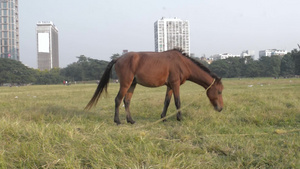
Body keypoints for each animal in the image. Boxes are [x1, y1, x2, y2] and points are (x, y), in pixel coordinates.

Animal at [84, 48, 223, 125]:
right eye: (219, 91)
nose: (220, 108)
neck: (182, 63)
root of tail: (118, 58)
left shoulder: (170, 86)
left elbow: (167, 102)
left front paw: (163, 118)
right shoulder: (175, 84)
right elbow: (177, 101)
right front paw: (179, 118)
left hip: (132, 84)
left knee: (126, 101)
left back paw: (131, 120)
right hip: (125, 83)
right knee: (118, 100)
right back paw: (117, 121)